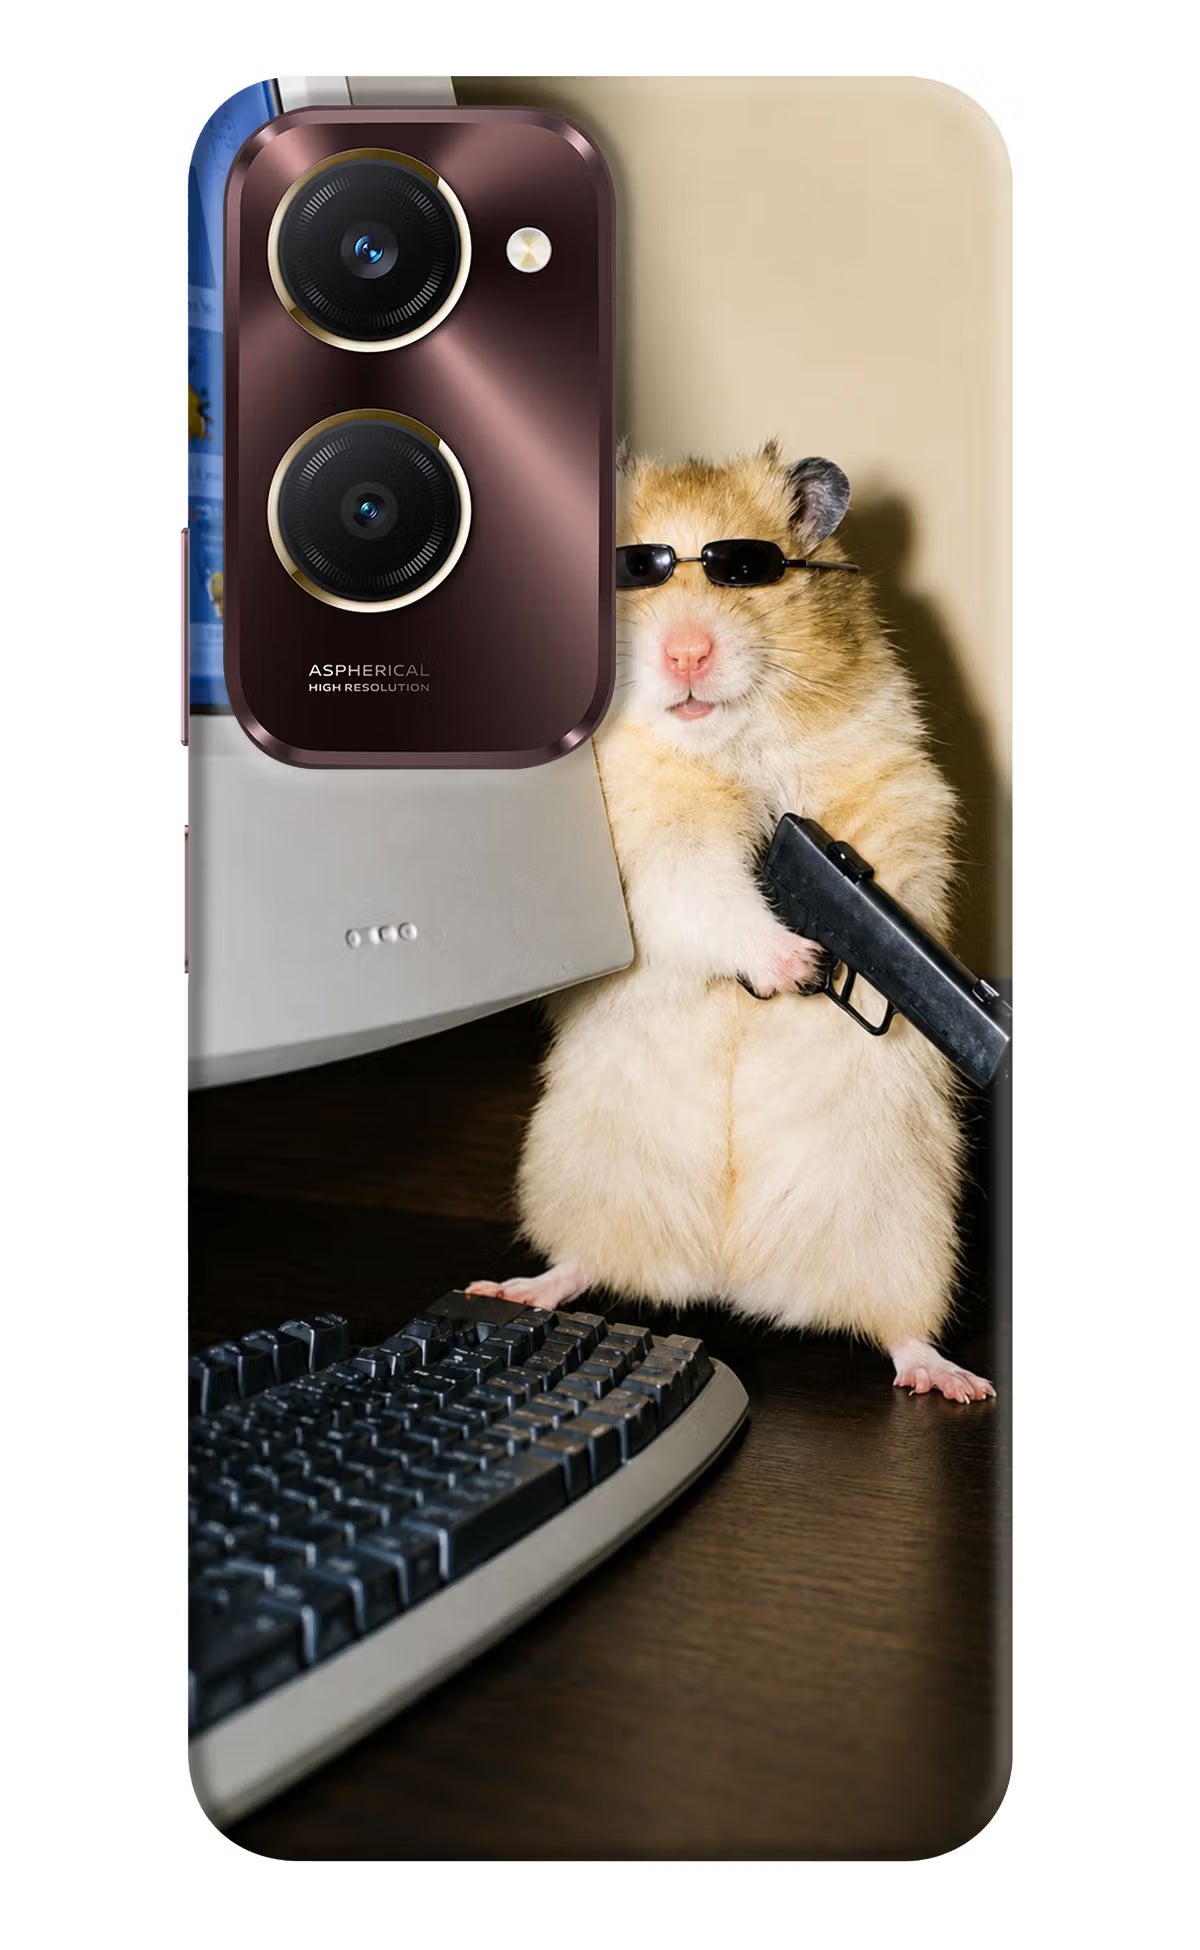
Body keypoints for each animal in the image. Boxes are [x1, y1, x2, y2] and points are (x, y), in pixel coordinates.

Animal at [469, 445, 994, 1403]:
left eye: (746, 571)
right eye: (629, 570)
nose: (686, 652)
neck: (726, 745)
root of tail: (730, 1276)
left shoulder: (895, 788)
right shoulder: (651, 852)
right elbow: (707, 895)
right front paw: (797, 964)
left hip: (908, 1228)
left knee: (900, 1328)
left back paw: (954, 1381)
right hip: (580, 1175)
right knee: (582, 1262)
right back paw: (515, 1288)